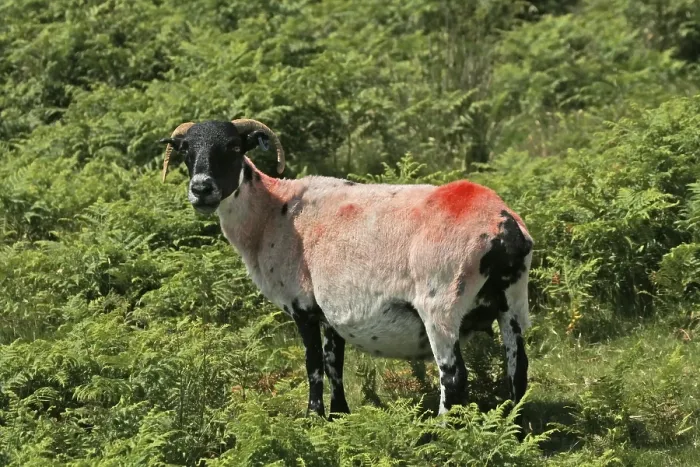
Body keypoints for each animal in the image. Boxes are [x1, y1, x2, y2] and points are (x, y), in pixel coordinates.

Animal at [159, 119, 533, 426]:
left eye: (234, 147)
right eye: (186, 150)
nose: (201, 189)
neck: (271, 213)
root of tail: (503, 228)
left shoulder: (303, 306)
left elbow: (313, 366)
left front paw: (313, 418)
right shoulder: (333, 311)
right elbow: (333, 364)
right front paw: (339, 416)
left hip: (441, 304)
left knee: (454, 378)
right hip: (512, 302)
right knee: (518, 369)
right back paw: (516, 430)